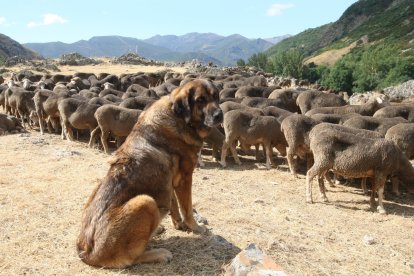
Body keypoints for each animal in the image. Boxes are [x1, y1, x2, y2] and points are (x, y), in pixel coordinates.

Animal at [75, 79, 222, 268]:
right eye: (200, 100)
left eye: (216, 96)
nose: (219, 115)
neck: (179, 116)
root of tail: (86, 253)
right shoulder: (185, 178)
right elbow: (187, 208)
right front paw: (195, 227)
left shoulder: (170, 181)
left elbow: (174, 205)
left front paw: (179, 224)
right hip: (145, 201)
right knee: (131, 258)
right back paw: (158, 253)